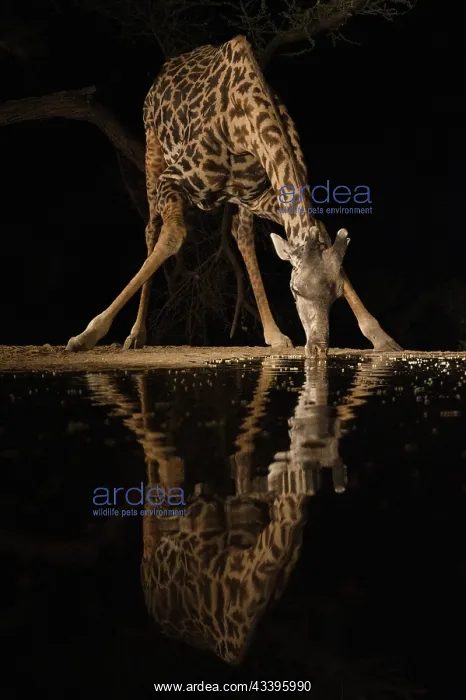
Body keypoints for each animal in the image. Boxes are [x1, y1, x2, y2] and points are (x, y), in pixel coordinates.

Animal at [66, 35, 401, 358]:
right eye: (295, 291)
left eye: (336, 293)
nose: (318, 348)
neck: (244, 129)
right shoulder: (172, 179)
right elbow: (172, 236)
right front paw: (86, 335)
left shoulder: (263, 196)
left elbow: (318, 227)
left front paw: (382, 337)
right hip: (153, 148)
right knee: (152, 229)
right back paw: (136, 334)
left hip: (241, 198)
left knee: (242, 235)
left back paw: (273, 334)